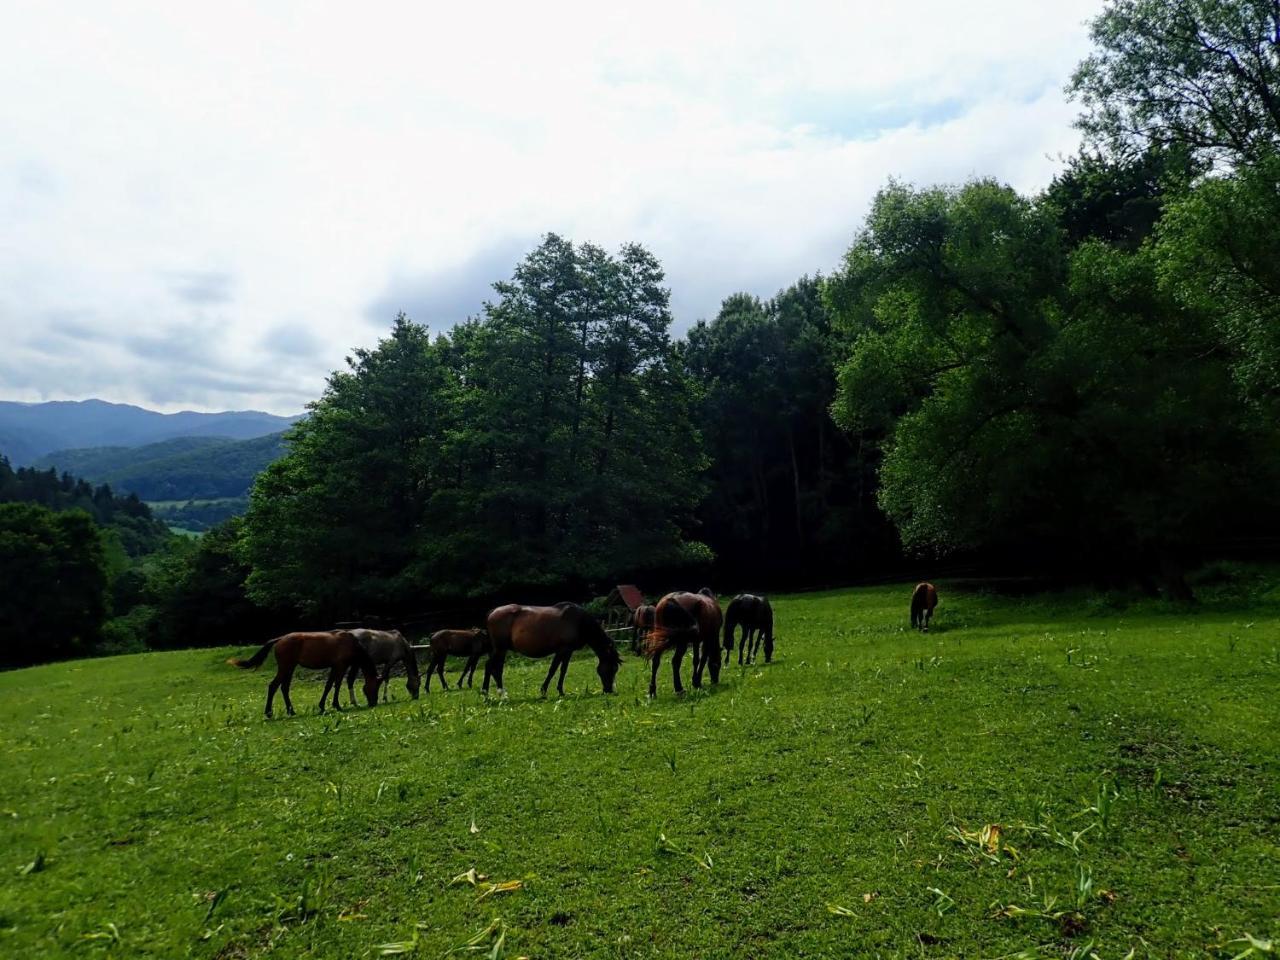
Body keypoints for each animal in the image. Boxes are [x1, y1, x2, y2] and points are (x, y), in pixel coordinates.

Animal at [229, 632, 376, 721]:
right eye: (374, 687)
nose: (373, 703)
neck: (350, 643)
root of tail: (280, 639)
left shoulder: (334, 667)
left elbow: (328, 686)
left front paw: (322, 706)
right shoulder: (341, 666)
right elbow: (337, 685)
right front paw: (337, 705)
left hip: (290, 668)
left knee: (284, 687)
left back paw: (291, 711)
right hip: (285, 667)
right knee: (273, 686)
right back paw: (269, 712)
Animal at [481, 601, 619, 701]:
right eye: (612, 668)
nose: (609, 690)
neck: (579, 622)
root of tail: (492, 612)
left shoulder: (567, 652)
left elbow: (562, 670)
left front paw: (558, 692)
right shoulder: (562, 650)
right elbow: (554, 670)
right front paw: (546, 691)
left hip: (502, 650)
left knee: (497, 669)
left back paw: (502, 694)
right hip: (499, 648)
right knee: (489, 666)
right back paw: (485, 694)